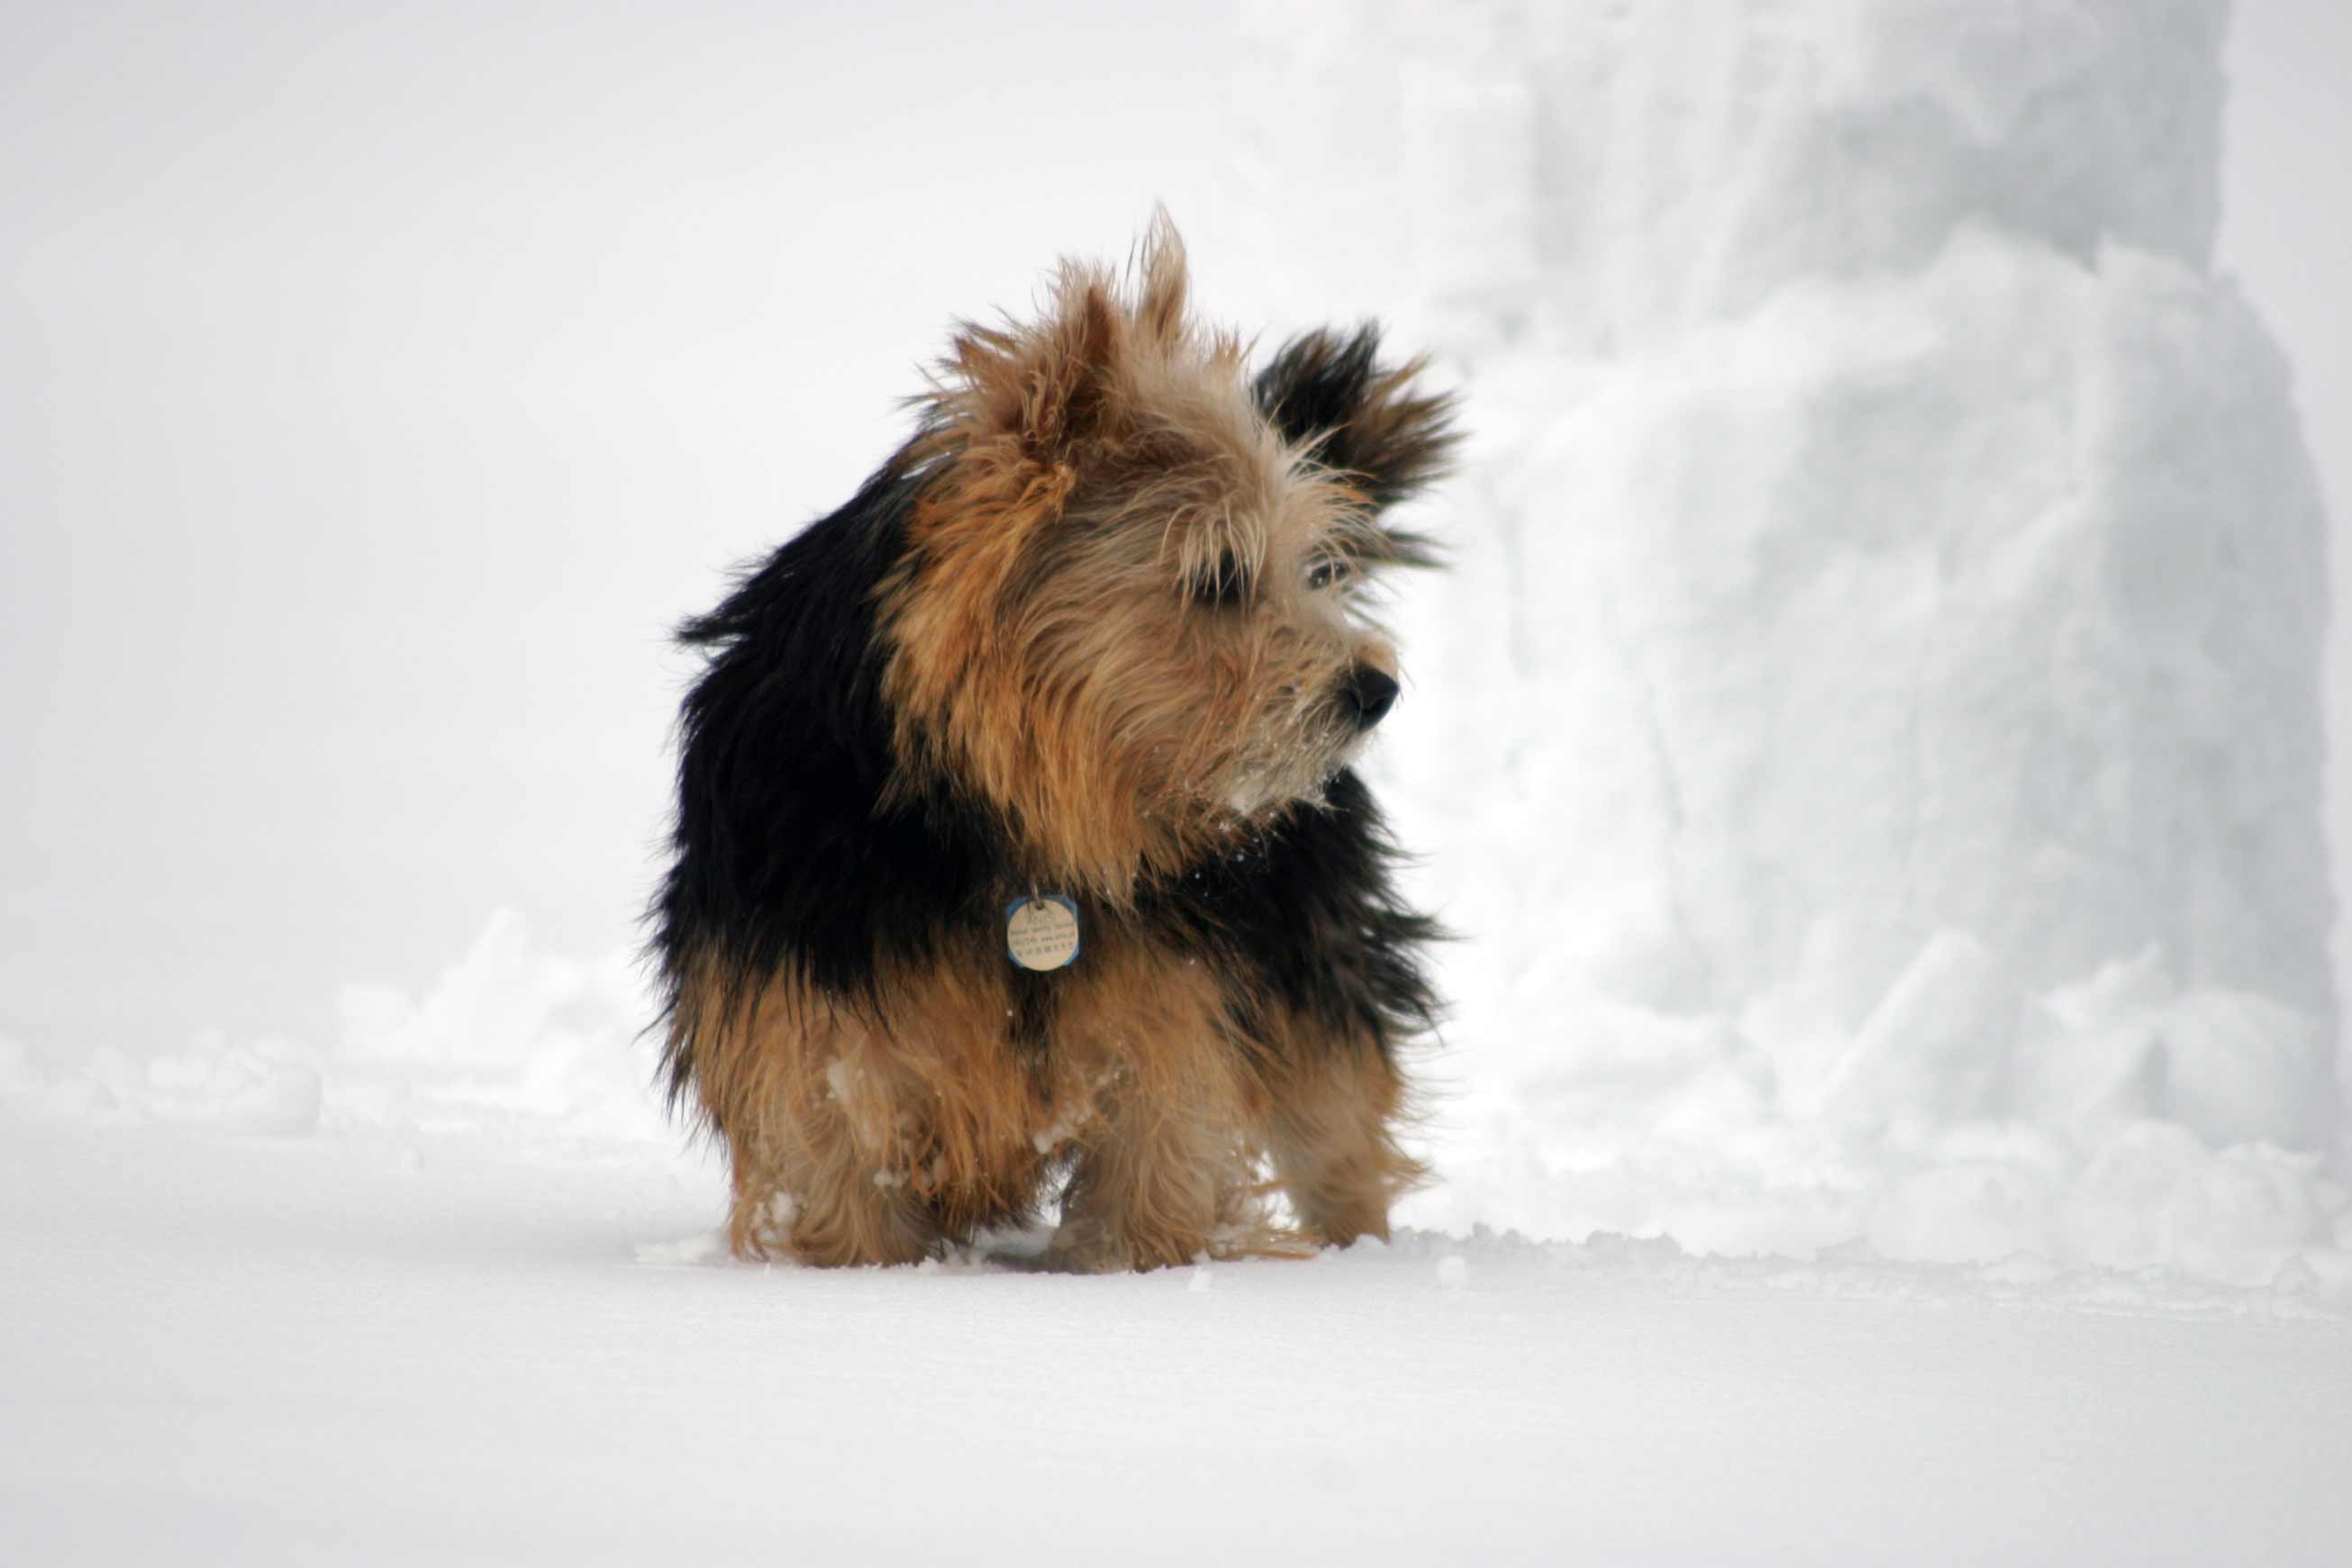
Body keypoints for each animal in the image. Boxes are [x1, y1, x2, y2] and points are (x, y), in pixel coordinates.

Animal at [649, 221, 1448, 1269]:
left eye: (1308, 567)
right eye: (1218, 575)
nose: (1374, 688)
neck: (1003, 813)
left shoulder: (1171, 1028)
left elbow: (1151, 1188)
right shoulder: (814, 1046)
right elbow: (849, 1204)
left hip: (1306, 957)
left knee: (1337, 1133)